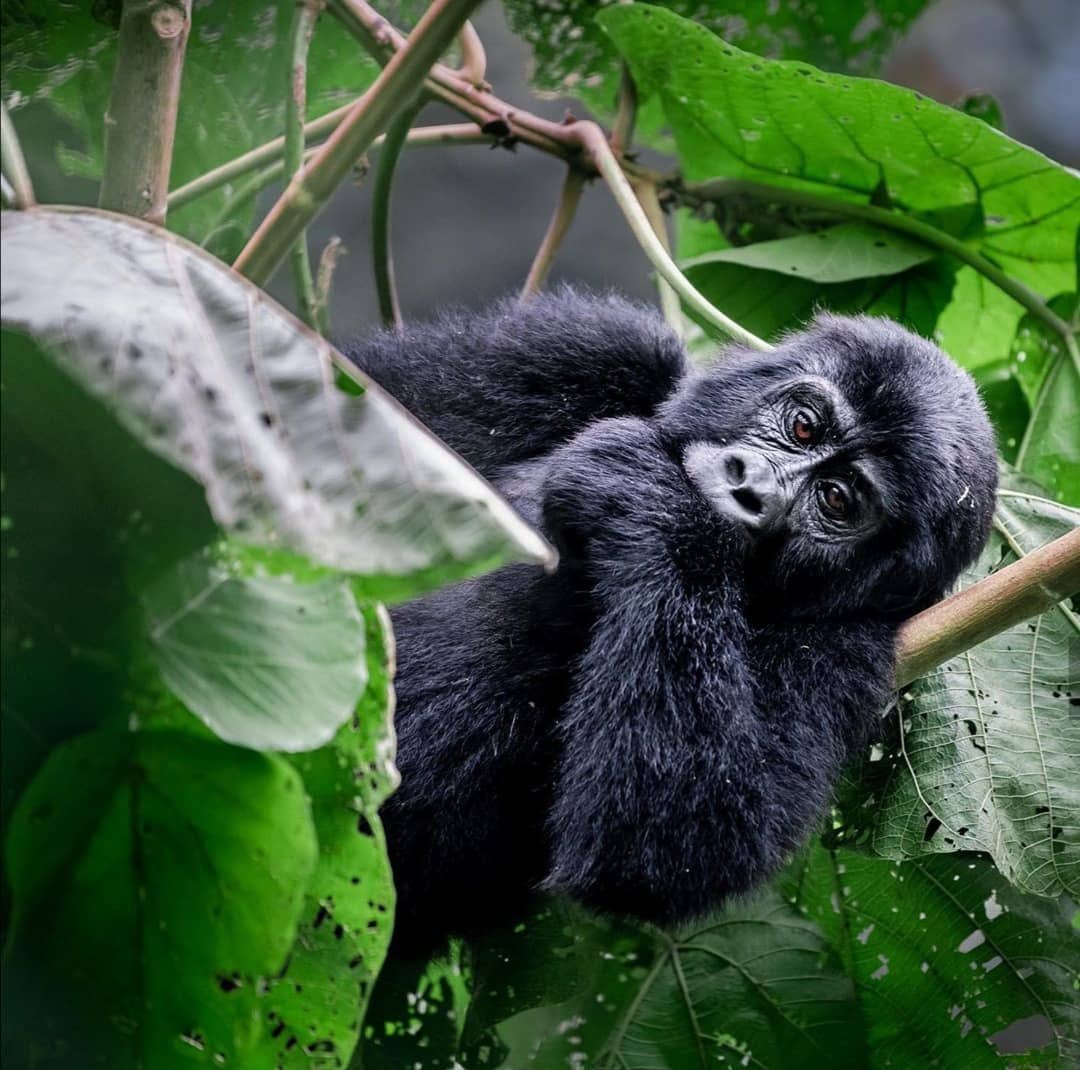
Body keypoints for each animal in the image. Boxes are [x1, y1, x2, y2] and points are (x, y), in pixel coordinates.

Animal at [343, 293, 993, 954]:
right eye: (804, 426)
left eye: (837, 499)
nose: (749, 484)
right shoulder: (597, 348)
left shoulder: (853, 645)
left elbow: (674, 848)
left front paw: (655, 504)